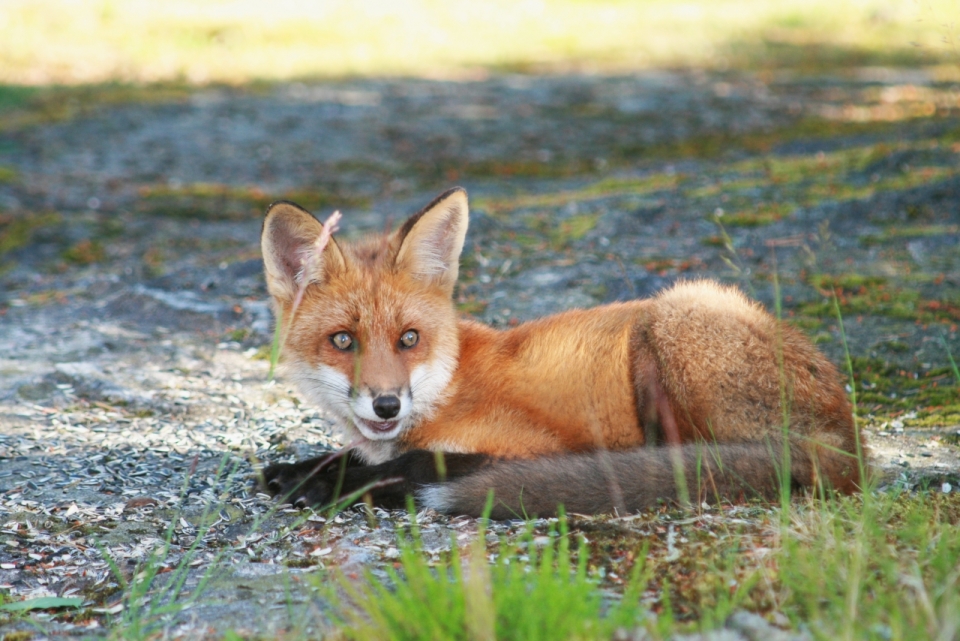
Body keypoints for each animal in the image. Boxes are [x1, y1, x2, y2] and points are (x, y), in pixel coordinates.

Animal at [256, 188, 864, 516]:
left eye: (409, 338)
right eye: (343, 340)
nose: (387, 404)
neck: (446, 386)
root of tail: (849, 442)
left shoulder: (527, 443)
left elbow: (413, 463)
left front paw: (329, 483)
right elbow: (354, 456)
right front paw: (303, 470)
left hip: (672, 319)